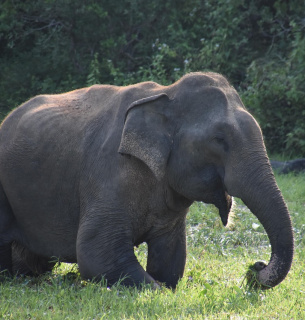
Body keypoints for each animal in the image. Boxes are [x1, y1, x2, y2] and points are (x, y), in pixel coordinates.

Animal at [0, 73, 292, 290]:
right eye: (219, 140)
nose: (256, 267)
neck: (166, 93)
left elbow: (170, 259)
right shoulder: (108, 174)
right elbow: (96, 254)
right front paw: (158, 289)